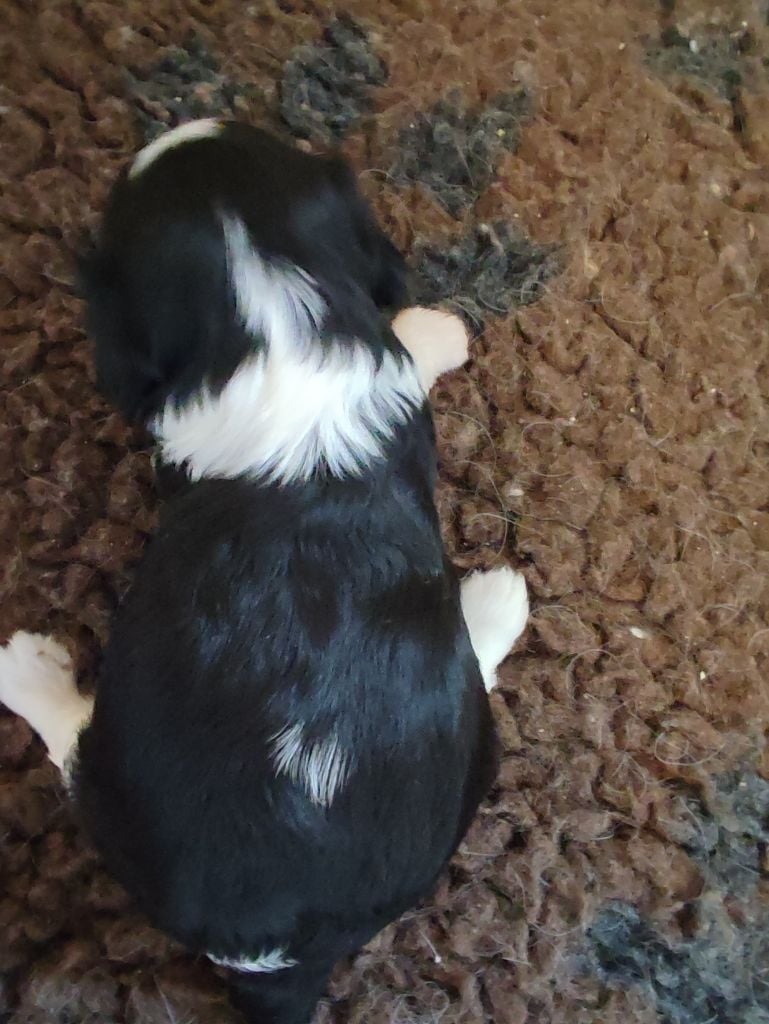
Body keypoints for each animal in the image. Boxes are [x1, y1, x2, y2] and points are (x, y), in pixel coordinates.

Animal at [0, 121, 528, 1024]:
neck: (271, 314)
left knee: (69, 752)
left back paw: (24, 665)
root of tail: (274, 948)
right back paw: (493, 602)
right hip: (471, 765)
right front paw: (438, 330)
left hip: (116, 784)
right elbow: (399, 343)